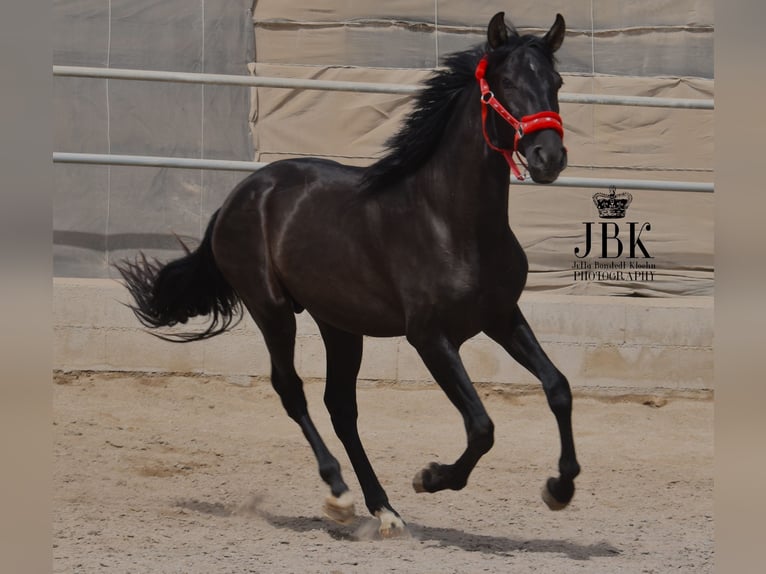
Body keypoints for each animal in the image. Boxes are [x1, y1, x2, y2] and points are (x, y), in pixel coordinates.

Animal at [117, 11, 580, 536]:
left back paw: (384, 510)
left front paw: (559, 489)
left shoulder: (501, 317)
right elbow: (481, 426)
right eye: (504, 83)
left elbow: (558, 388)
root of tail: (241, 194)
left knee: (340, 406)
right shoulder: (430, 337)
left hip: (339, 325)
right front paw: (431, 477)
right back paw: (339, 494)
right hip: (272, 310)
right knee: (292, 391)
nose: (548, 157)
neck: (451, 222)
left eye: (556, 82)